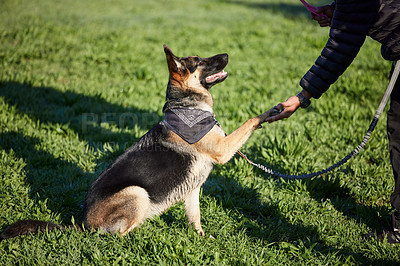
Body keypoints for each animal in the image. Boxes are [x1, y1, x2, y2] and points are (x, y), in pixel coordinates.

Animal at [0, 44, 278, 240]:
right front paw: (274, 110)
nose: (227, 54)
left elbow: (195, 218)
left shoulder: (192, 190)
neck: (186, 105)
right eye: (200, 61)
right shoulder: (222, 150)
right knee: (118, 236)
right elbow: (250, 119)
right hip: (137, 193)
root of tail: (83, 224)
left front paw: (199, 238)